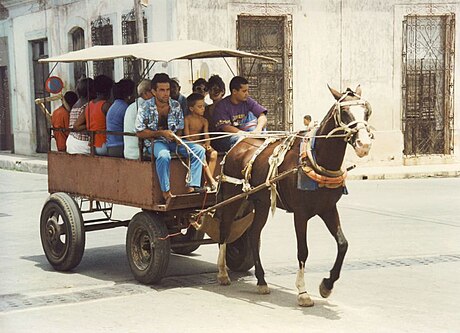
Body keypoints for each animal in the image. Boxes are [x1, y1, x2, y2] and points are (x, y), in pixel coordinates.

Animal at [214, 85, 372, 306]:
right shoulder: (300, 213)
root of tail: (237, 146)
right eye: (345, 112)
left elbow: (343, 244)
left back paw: (261, 281)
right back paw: (222, 273)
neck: (316, 159)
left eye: (366, 111)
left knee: (254, 235)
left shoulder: (328, 209)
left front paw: (327, 285)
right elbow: (303, 250)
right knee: (225, 229)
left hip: (261, 202)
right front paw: (303, 292)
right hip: (231, 198)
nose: (364, 144)